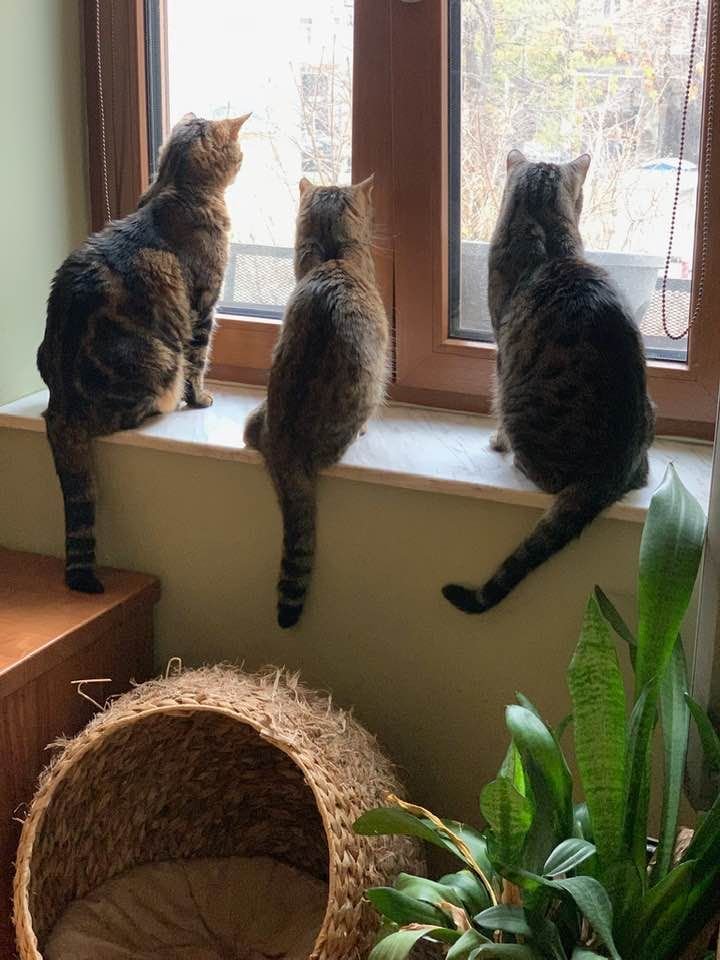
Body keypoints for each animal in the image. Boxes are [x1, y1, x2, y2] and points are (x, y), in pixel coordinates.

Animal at [37, 112, 250, 593]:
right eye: (239, 151)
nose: (245, 159)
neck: (174, 186)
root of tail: (61, 406)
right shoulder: (203, 303)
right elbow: (199, 359)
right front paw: (200, 399)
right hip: (157, 358)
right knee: (146, 401)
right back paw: (165, 405)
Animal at [443, 150, 655, 614]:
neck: (545, 235)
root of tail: (613, 468)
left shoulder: (501, 346)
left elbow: (496, 406)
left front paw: (497, 441)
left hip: (522, 408)